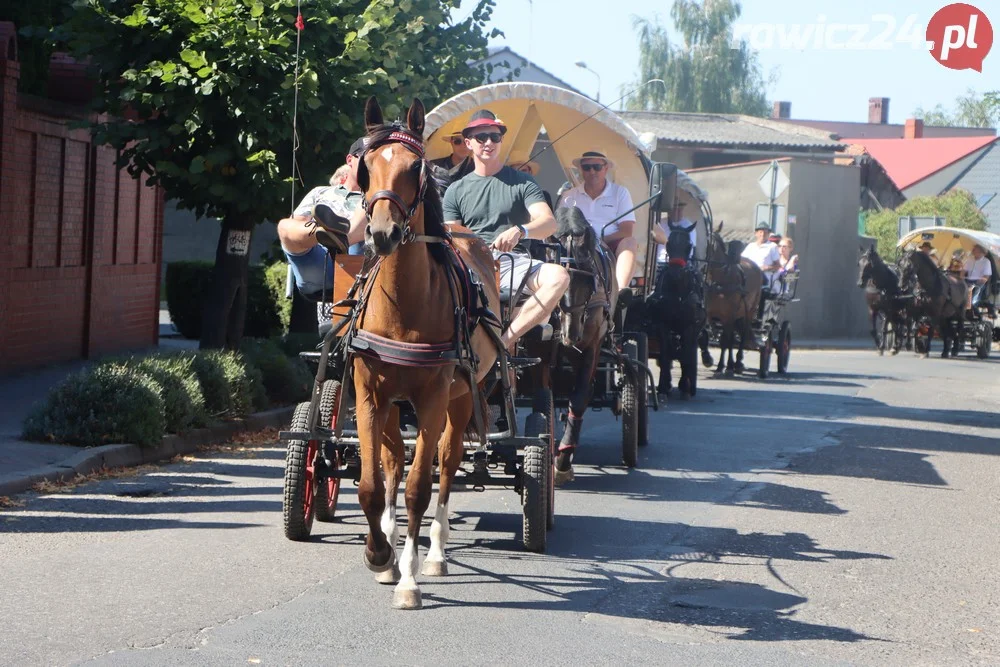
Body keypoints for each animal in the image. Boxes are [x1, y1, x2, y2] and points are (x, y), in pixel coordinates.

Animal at [340, 98, 504, 612]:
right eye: (366, 168)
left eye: (416, 168)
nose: (383, 234)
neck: (404, 307)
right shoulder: (370, 395)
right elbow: (372, 485)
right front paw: (379, 554)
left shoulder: (433, 399)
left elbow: (418, 488)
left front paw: (410, 578)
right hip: (395, 404)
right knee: (393, 461)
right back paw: (391, 541)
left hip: (461, 398)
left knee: (447, 464)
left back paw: (434, 550)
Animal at [644, 222, 708, 400]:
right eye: (668, 243)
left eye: (689, 246)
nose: (675, 272)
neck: (678, 291)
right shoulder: (663, 325)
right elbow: (666, 354)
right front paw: (663, 386)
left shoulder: (690, 326)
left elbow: (687, 354)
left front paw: (685, 386)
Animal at [700, 222, 760, 374]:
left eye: (710, 243)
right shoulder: (707, 312)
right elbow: (703, 333)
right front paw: (707, 358)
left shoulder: (729, 314)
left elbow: (724, 341)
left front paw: (721, 365)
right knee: (733, 337)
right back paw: (732, 364)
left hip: (749, 311)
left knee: (742, 335)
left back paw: (737, 363)